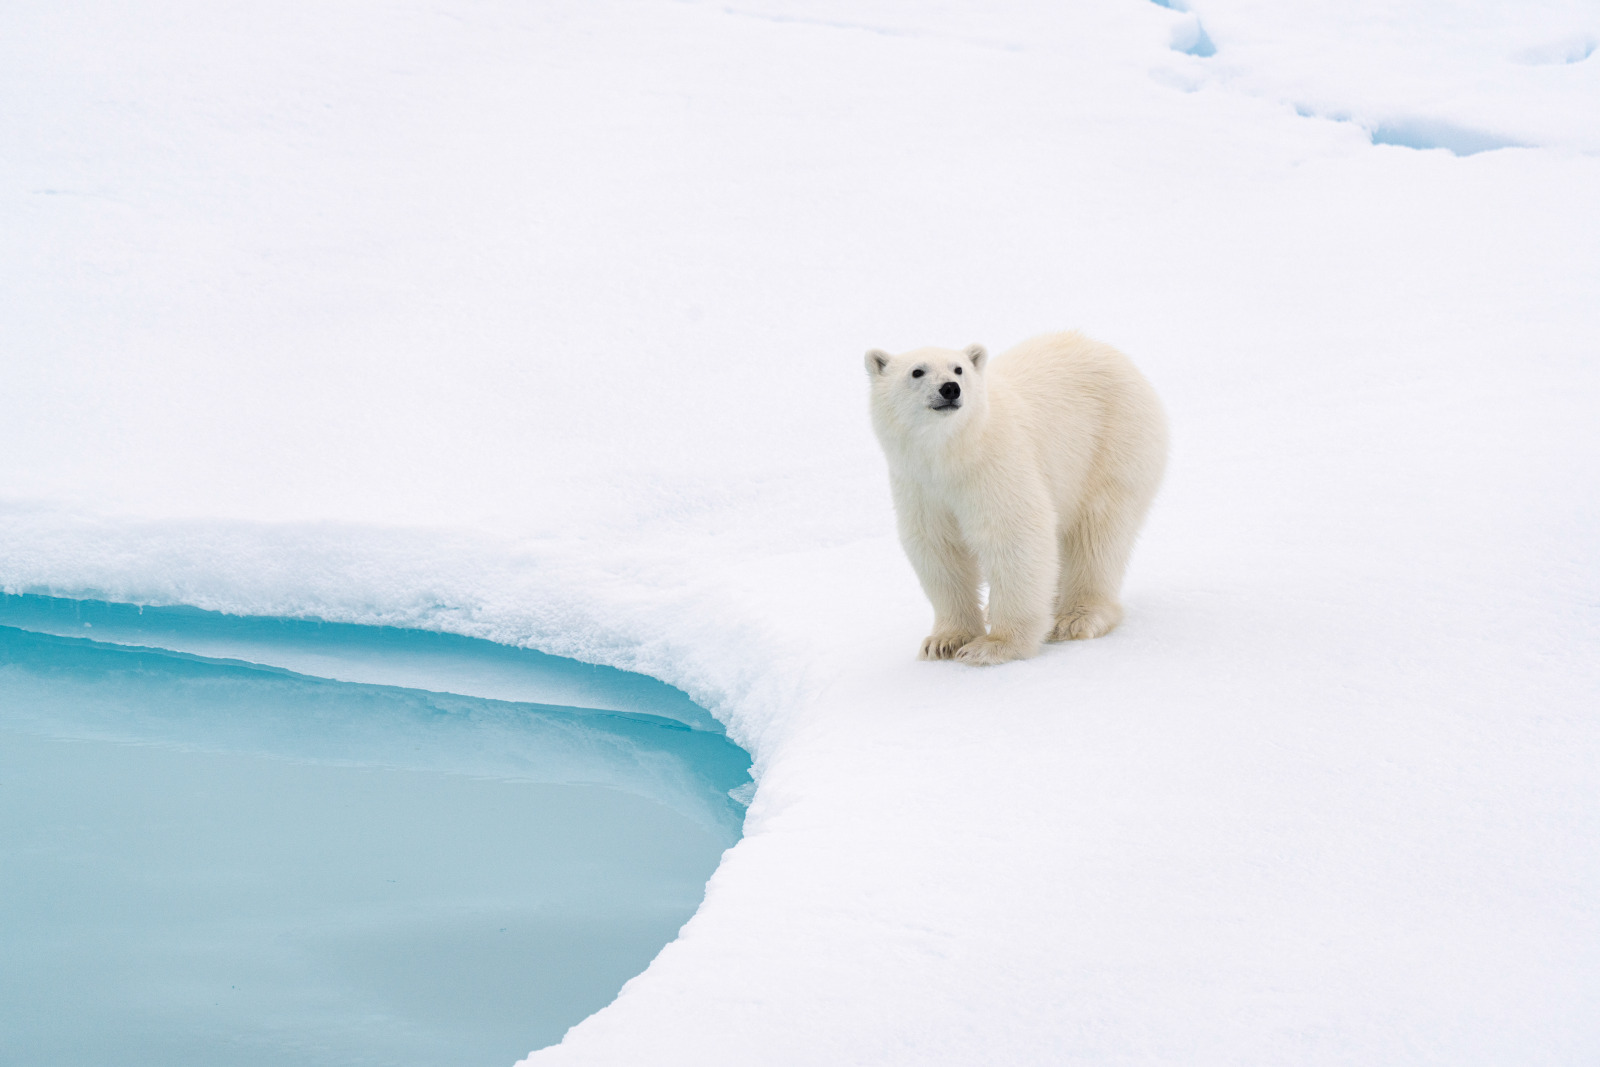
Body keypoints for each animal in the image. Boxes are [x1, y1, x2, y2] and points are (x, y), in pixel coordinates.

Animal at [865, 331, 1167, 665]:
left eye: (958, 369)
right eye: (917, 371)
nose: (950, 388)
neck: (952, 455)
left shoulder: (995, 466)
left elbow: (1014, 537)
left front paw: (993, 645)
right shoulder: (920, 486)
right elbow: (939, 550)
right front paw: (944, 642)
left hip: (1112, 443)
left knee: (1097, 533)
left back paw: (1075, 618)